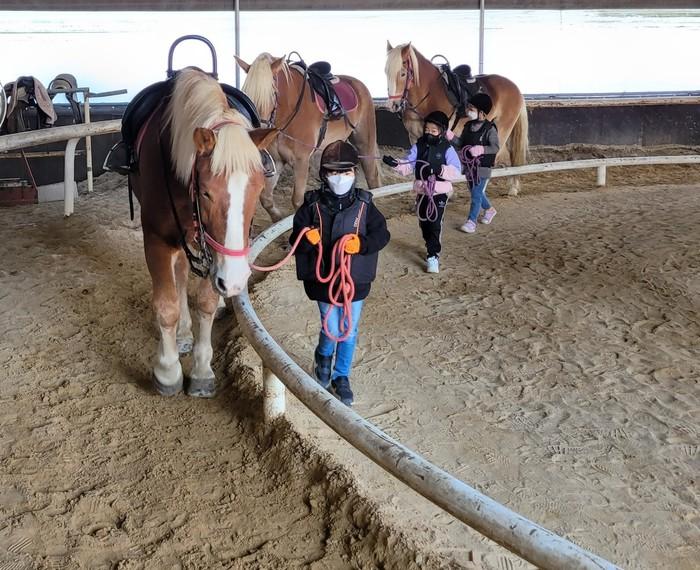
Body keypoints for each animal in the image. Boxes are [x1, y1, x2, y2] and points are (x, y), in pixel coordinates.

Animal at [129, 67, 277, 397]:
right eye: (207, 192)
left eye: (258, 188)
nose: (234, 282)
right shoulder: (157, 240)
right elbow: (167, 305)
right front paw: (168, 371)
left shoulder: (215, 249)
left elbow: (206, 303)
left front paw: (201, 371)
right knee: (180, 277)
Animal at [235, 53, 381, 220]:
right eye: (245, 93)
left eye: (272, 94)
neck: (289, 111)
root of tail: (358, 84)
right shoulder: (277, 160)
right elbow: (266, 198)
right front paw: (278, 218)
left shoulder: (301, 161)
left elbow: (298, 200)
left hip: (364, 141)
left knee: (372, 176)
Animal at [385, 42, 529, 196]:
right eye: (386, 72)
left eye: (403, 73)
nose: (392, 105)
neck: (429, 94)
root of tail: (515, 88)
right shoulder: (415, 137)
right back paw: (511, 186)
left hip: (501, 129)